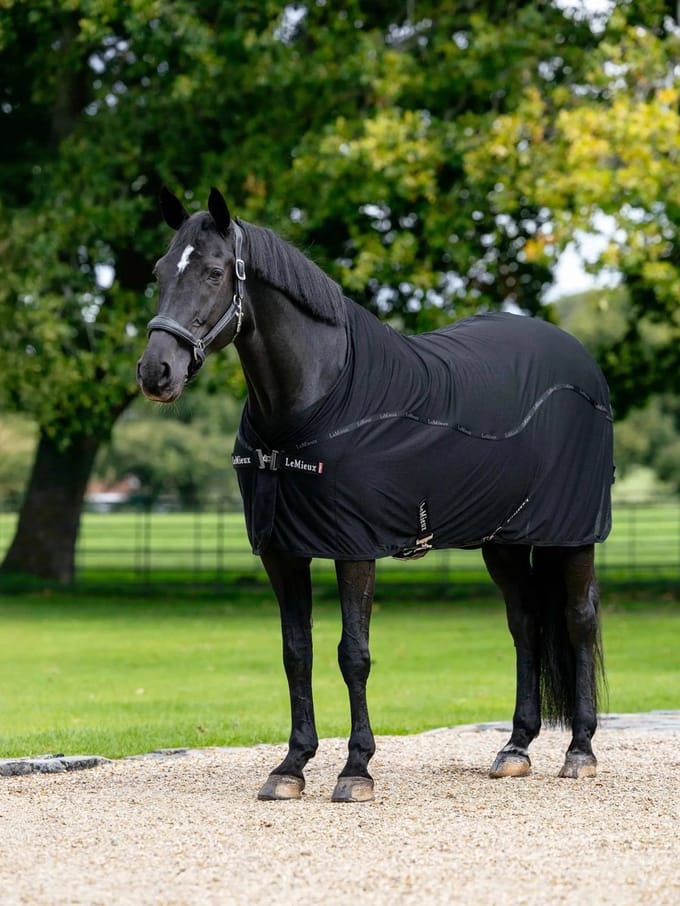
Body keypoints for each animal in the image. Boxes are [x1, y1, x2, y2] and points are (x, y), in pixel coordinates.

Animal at [137, 187, 613, 802]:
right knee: (525, 623)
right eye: (158, 271)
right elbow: (296, 652)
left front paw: (355, 768)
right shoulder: (281, 551)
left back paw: (580, 751)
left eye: (215, 272)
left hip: (571, 536)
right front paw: (290, 767)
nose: (156, 372)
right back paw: (515, 749)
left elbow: (353, 654)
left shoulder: (354, 547)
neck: (314, 401)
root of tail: (578, 356)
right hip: (503, 541)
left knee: (578, 621)